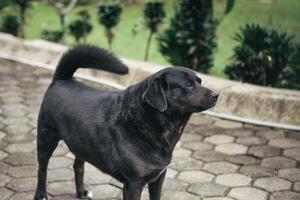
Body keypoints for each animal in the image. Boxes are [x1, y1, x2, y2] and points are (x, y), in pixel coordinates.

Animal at [34, 45, 218, 200]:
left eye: (199, 81)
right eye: (188, 84)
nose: (216, 95)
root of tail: (62, 80)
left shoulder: (158, 178)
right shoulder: (133, 184)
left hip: (81, 143)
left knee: (78, 167)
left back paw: (82, 192)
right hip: (46, 138)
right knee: (42, 168)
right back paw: (41, 194)